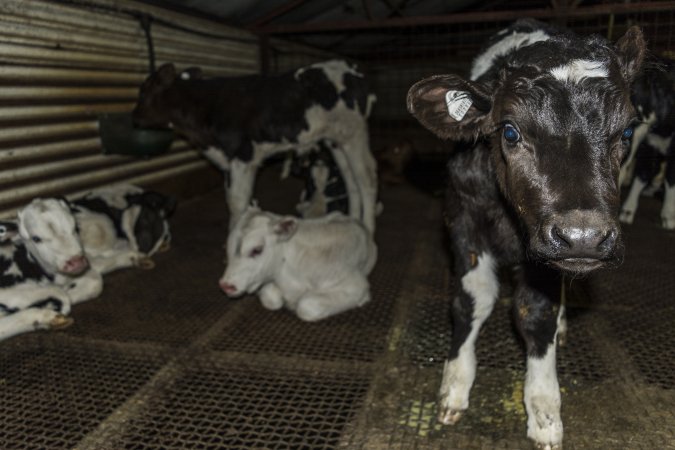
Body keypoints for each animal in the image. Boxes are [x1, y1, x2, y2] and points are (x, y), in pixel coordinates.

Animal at [132, 60, 380, 232]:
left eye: (144, 90)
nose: (134, 117)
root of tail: (350, 67)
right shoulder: (229, 160)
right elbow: (235, 199)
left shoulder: (243, 155)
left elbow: (236, 202)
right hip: (336, 141)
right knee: (350, 180)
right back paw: (353, 221)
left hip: (355, 134)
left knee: (367, 179)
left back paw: (368, 228)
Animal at [219, 207, 378, 324]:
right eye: (227, 247)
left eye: (257, 249)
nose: (226, 285)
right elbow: (270, 298)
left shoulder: (357, 285)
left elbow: (306, 305)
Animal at [406, 18, 644, 450]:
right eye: (511, 132)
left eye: (627, 132)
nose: (583, 235)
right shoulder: (463, 219)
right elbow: (472, 299)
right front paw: (454, 385)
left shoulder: (549, 257)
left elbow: (536, 312)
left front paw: (544, 406)